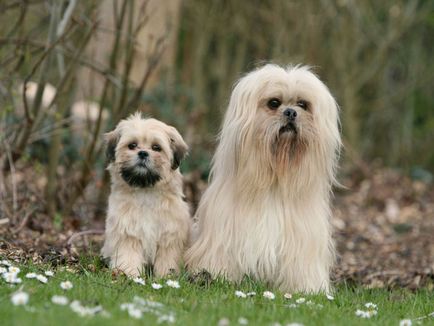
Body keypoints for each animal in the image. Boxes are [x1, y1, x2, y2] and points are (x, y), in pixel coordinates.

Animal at [102, 113, 191, 276]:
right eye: (132, 145)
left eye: (156, 147)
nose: (143, 153)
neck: (145, 191)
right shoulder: (127, 232)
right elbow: (128, 254)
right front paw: (128, 273)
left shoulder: (169, 235)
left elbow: (167, 258)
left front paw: (166, 275)